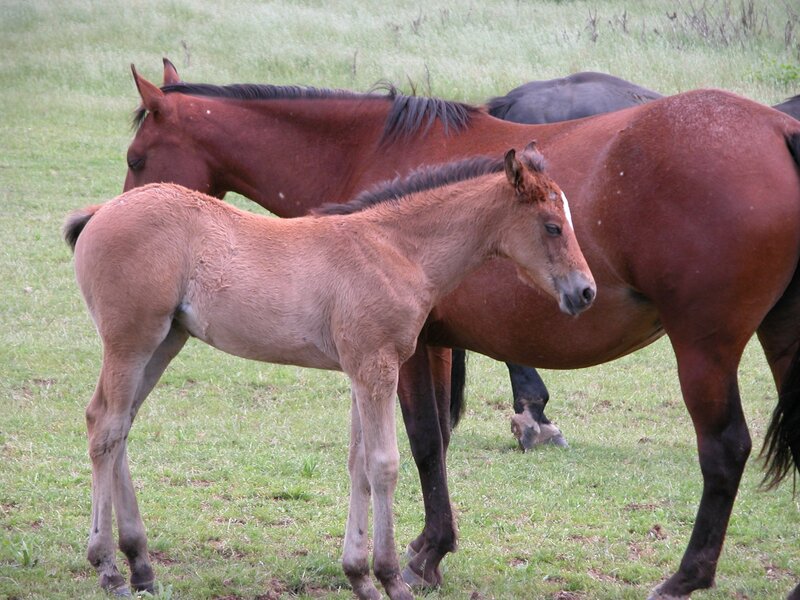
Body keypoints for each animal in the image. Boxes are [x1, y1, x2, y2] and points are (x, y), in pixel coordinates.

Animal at [65, 148, 594, 599]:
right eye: (552, 226)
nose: (585, 292)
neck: (395, 250)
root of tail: (102, 211)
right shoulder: (378, 367)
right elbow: (384, 465)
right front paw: (390, 577)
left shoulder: (362, 371)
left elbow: (358, 465)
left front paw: (359, 576)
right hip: (131, 341)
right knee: (105, 427)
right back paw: (109, 567)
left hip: (163, 342)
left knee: (119, 424)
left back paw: (141, 565)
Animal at [123, 61, 800, 599]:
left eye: (136, 158)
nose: (117, 218)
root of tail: (777, 128)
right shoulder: (440, 343)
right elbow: (439, 441)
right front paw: (433, 546)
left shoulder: (410, 349)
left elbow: (424, 440)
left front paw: (422, 555)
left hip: (705, 349)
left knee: (724, 450)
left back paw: (684, 577)